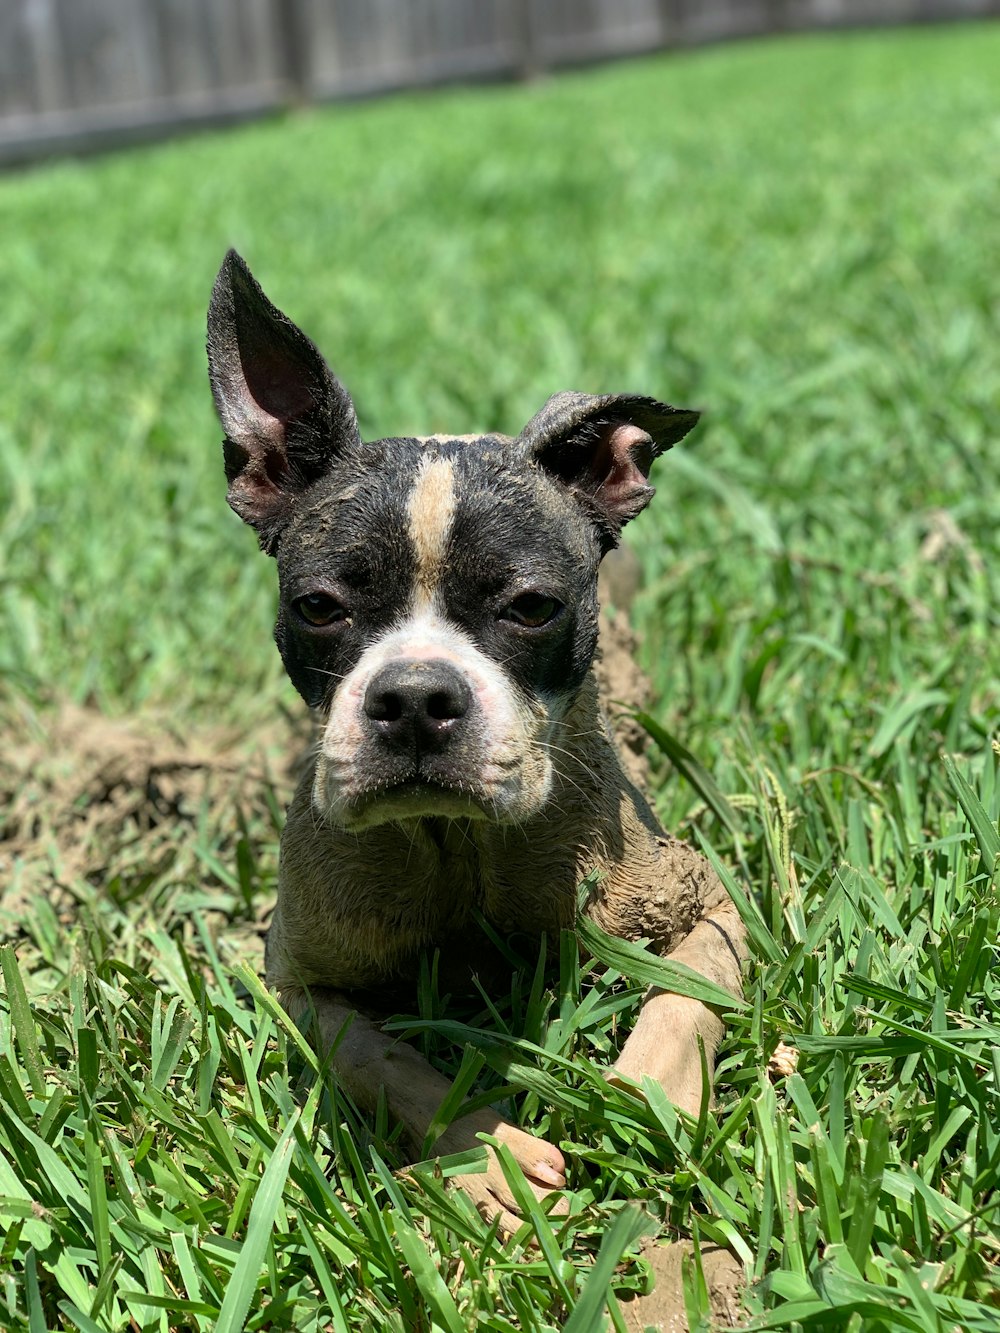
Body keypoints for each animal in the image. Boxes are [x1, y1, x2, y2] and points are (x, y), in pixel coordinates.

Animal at [208, 250, 746, 1226]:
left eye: (531, 606)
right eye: (318, 607)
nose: (417, 697)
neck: (454, 839)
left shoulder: (717, 906)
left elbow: (681, 1003)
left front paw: (639, 1096)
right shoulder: (298, 981)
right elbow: (382, 1058)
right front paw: (484, 1151)